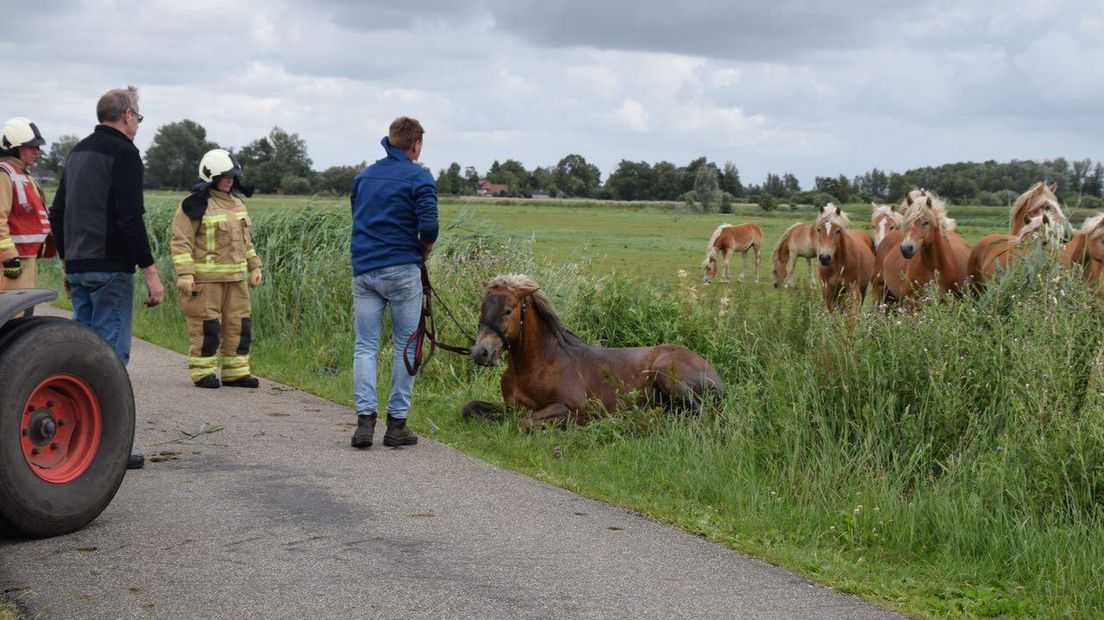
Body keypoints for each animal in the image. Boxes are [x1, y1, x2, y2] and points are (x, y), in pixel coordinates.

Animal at [463, 274, 728, 430]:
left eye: (508, 310)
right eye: (482, 306)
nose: (481, 352)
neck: (536, 363)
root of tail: (715, 375)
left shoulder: (570, 408)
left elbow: (524, 423)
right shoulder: (511, 405)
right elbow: (469, 407)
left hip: (666, 373)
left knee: (696, 416)